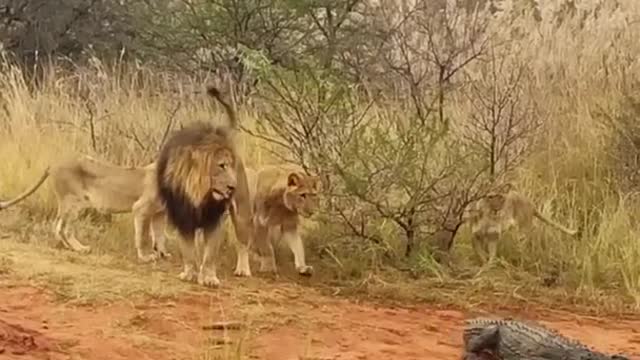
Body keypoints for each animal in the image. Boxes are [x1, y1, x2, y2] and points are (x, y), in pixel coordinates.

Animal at [132, 84, 252, 286]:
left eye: (231, 166)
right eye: (221, 165)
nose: (232, 187)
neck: (198, 193)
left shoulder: (215, 219)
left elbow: (210, 253)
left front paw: (209, 278)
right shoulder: (182, 217)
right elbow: (188, 251)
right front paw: (189, 274)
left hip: (242, 213)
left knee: (243, 242)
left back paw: (243, 269)